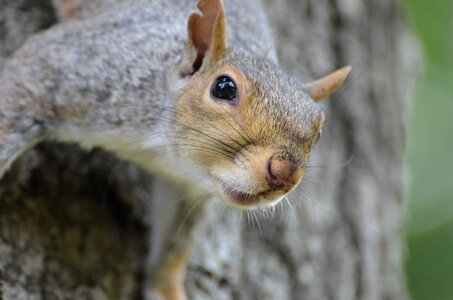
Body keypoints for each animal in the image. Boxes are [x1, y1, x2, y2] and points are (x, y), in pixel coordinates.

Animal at [0, 0, 350, 300]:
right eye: (224, 87)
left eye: (319, 130)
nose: (284, 173)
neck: (163, 152)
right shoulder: (76, 70)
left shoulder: (188, 189)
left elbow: (173, 246)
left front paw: (166, 289)